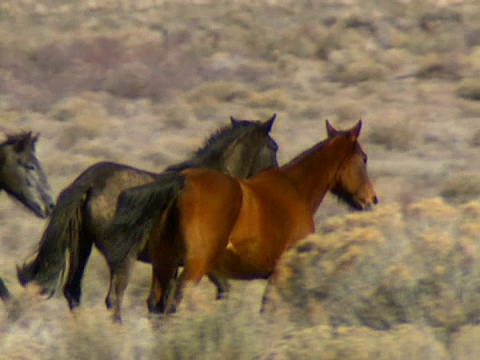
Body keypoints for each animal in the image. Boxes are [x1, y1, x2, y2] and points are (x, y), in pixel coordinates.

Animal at [16, 116, 278, 318]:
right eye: (274, 147)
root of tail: (88, 182)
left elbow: (160, 304)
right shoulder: (201, 260)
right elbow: (211, 293)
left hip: (81, 246)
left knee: (73, 291)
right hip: (123, 257)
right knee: (114, 298)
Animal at [109, 119, 378, 316]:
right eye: (364, 158)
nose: (372, 200)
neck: (295, 189)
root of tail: (181, 181)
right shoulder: (281, 274)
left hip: (165, 264)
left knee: (155, 307)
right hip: (192, 267)